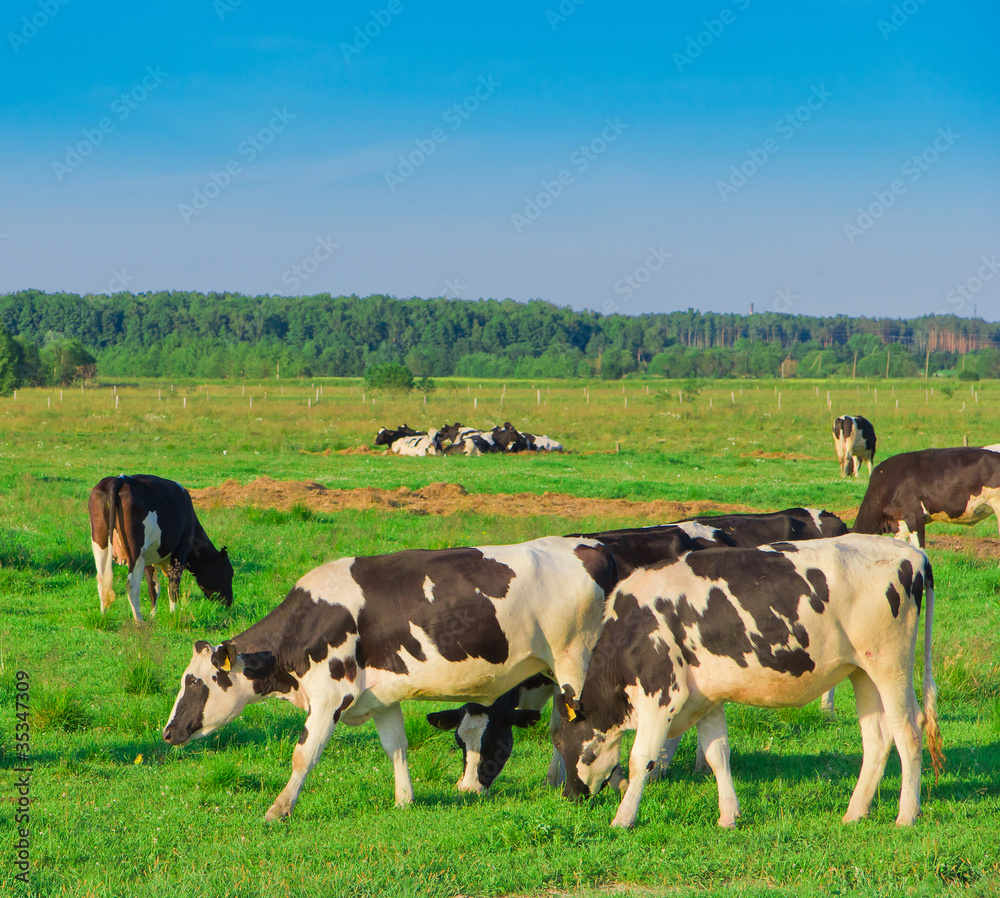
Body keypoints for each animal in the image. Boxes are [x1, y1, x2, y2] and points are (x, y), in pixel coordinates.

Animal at [86, 472, 234, 620]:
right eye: (229, 574)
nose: (229, 603)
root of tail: (119, 479)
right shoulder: (181, 550)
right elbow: (173, 586)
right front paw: (174, 615)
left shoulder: (148, 559)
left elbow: (154, 588)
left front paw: (153, 616)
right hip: (136, 549)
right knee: (132, 584)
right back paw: (139, 620)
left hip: (100, 542)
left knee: (102, 580)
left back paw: (103, 616)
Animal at [162, 536, 616, 816]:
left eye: (196, 683)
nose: (167, 732)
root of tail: (588, 547)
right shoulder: (380, 698)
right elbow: (396, 747)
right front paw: (404, 801)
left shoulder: (329, 696)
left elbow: (303, 754)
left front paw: (279, 809)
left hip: (576, 660)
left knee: (582, 729)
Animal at [560, 536, 940, 828]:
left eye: (561, 744)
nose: (568, 796)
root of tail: (912, 554)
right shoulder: (706, 698)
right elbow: (717, 754)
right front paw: (728, 816)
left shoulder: (661, 694)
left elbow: (642, 759)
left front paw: (623, 818)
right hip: (862, 671)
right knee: (877, 737)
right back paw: (855, 812)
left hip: (891, 665)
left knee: (908, 730)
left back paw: (907, 815)